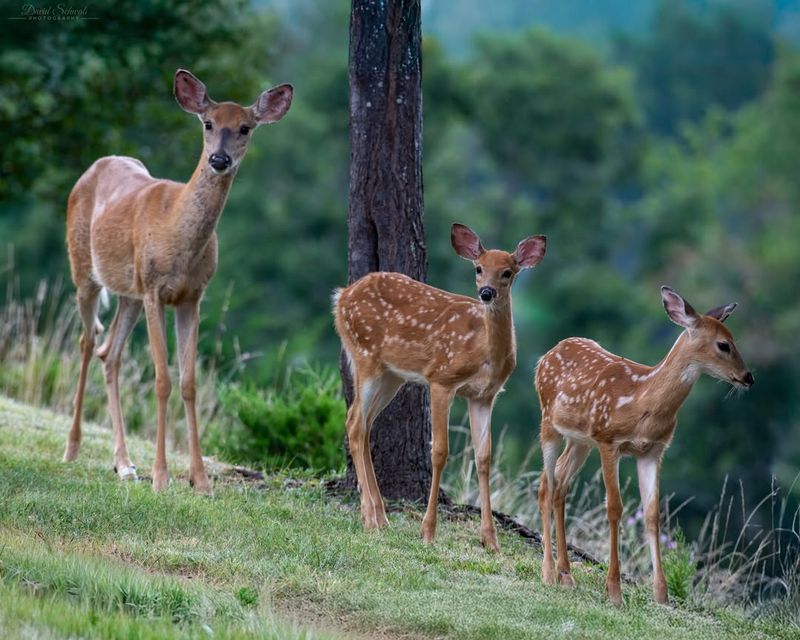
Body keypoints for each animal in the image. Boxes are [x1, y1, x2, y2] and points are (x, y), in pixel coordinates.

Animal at [63, 69, 293, 493]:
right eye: (208, 124)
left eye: (245, 127)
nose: (219, 160)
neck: (177, 234)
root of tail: (96, 164)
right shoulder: (155, 290)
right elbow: (162, 380)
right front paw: (161, 477)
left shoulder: (192, 297)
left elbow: (188, 382)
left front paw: (200, 481)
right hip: (84, 270)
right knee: (87, 342)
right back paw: (73, 448)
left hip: (129, 292)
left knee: (110, 352)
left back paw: (124, 464)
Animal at [333, 224, 547, 551]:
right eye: (478, 268)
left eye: (508, 272)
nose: (486, 293)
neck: (484, 350)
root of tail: (341, 296)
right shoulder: (441, 379)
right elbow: (440, 451)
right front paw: (428, 531)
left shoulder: (484, 396)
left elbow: (483, 457)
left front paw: (491, 541)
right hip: (365, 355)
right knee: (355, 422)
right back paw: (370, 519)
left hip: (391, 375)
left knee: (364, 424)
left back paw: (381, 518)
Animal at [535, 286, 754, 604]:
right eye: (724, 344)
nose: (749, 377)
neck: (642, 401)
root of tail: (546, 355)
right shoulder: (607, 439)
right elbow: (615, 508)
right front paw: (614, 590)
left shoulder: (652, 451)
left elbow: (652, 515)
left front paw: (661, 594)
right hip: (549, 420)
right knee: (546, 485)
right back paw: (549, 573)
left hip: (579, 440)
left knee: (560, 484)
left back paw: (566, 575)